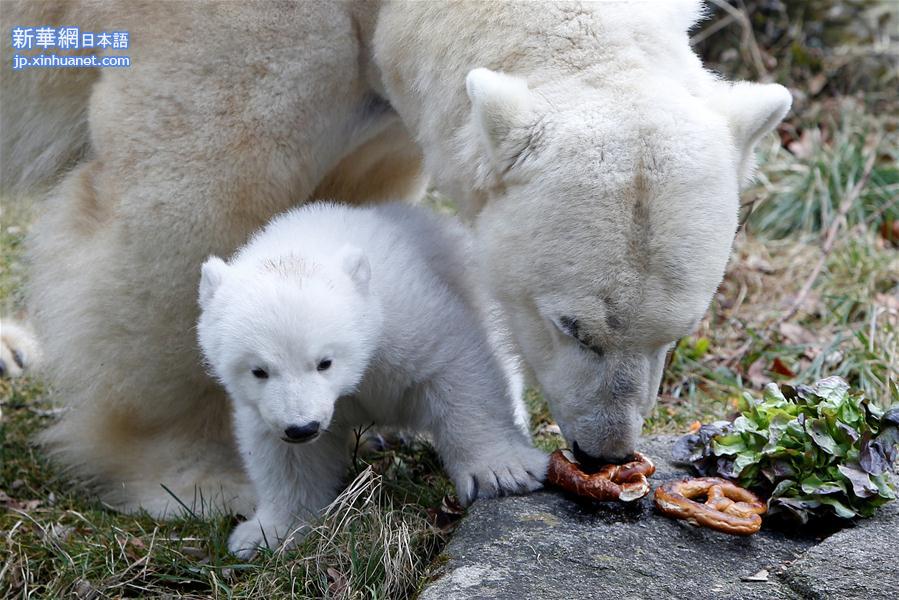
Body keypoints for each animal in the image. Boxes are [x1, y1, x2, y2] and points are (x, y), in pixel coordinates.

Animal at [3, 1, 788, 516]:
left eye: (676, 334)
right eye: (571, 326)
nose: (604, 451)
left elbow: (351, 195)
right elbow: (191, 203)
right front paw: (195, 479)